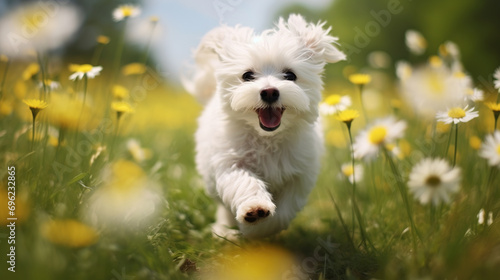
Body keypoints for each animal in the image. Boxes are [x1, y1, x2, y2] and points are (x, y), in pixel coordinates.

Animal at [186, 13, 346, 238]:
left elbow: (284, 211)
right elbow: (244, 182)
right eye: (247, 75)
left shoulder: (299, 175)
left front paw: (257, 230)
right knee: (223, 209)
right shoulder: (230, 161)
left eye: (290, 75)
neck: (267, 138)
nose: (269, 91)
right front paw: (254, 210)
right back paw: (224, 231)